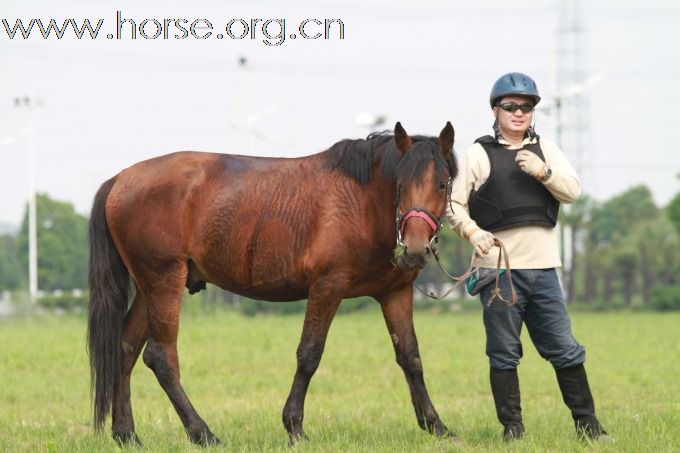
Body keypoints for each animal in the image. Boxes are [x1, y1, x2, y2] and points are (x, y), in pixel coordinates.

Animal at [85, 120, 456, 444]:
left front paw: (436, 425)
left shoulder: (395, 292)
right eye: (401, 185)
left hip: (148, 289)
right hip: (164, 282)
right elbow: (309, 354)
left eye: (442, 184)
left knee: (125, 349)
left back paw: (126, 434)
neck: (362, 200)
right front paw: (294, 427)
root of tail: (120, 180)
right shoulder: (327, 287)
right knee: (160, 357)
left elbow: (410, 357)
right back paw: (202, 433)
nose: (415, 249)